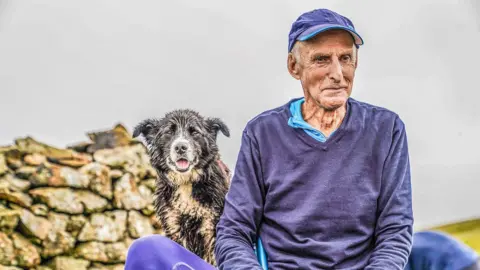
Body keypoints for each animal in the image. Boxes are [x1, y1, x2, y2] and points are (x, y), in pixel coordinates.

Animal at [133, 109, 232, 266]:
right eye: (168, 132)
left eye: (194, 132)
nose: (180, 147)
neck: (186, 182)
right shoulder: (174, 227)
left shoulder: (210, 227)